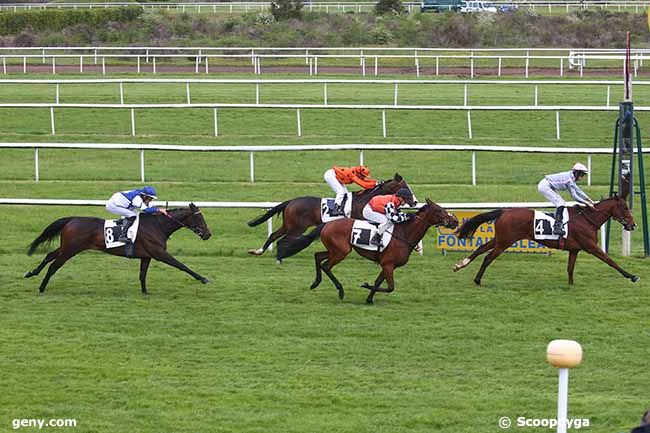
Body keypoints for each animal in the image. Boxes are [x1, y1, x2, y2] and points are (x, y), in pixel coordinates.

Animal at [25, 203, 211, 294]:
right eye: (199, 218)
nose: (208, 234)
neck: (157, 225)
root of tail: (71, 219)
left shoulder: (147, 256)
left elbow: (142, 275)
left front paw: (145, 292)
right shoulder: (159, 253)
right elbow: (181, 265)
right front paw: (203, 278)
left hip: (67, 247)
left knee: (49, 255)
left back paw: (31, 273)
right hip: (71, 249)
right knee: (54, 265)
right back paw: (41, 288)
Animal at [246, 172, 408, 256]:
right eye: (404, 186)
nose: (412, 199)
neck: (364, 200)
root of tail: (291, 201)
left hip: (289, 225)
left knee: (274, 235)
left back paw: (259, 251)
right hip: (297, 228)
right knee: (282, 239)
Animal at [282, 200, 456, 304]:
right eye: (439, 210)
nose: (454, 221)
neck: (404, 234)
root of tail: (327, 224)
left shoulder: (387, 265)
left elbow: (380, 282)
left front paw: (369, 298)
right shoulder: (388, 264)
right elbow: (390, 287)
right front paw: (365, 285)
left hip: (335, 250)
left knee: (318, 256)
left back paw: (315, 282)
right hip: (341, 251)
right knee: (326, 266)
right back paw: (340, 290)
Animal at [450, 195, 636, 284]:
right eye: (625, 207)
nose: (633, 225)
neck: (587, 219)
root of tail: (504, 211)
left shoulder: (574, 250)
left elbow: (570, 269)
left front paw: (570, 285)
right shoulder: (591, 247)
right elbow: (611, 261)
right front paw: (632, 276)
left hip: (500, 239)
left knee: (480, 249)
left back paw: (460, 265)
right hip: (505, 241)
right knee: (488, 257)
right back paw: (477, 279)